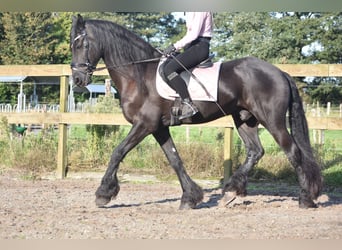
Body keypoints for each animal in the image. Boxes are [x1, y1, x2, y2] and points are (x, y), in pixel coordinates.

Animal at [71, 13, 322, 209]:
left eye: (81, 44)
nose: (77, 79)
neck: (139, 75)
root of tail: (280, 72)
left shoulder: (144, 124)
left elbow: (118, 152)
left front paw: (103, 194)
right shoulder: (159, 128)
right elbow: (175, 159)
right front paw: (190, 197)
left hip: (272, 120)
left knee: (292, 151)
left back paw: (305, 199)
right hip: (245, 119)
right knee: (255, 151)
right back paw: (232, 191)